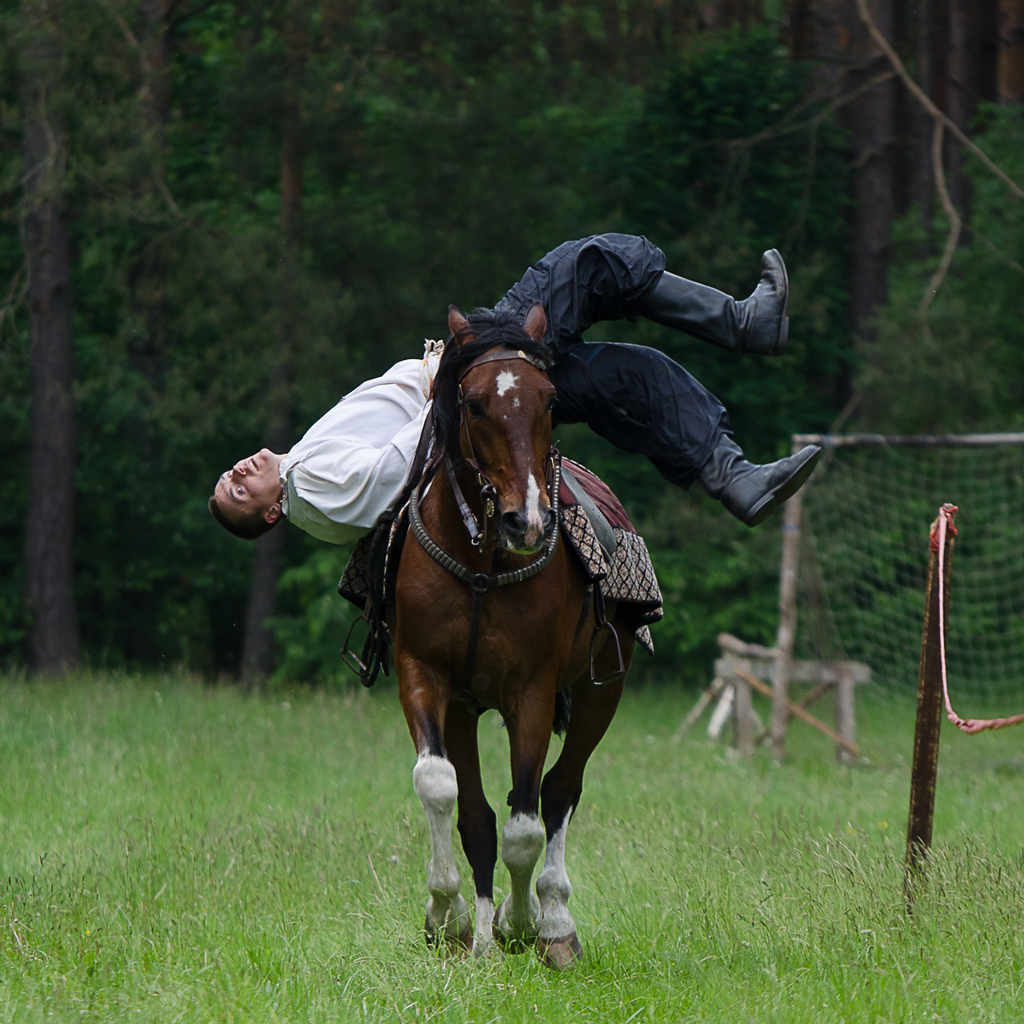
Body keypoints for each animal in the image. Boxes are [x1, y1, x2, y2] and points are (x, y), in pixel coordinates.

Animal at [389, 301, 630, 966]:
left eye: (549, 400)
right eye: (473, 404)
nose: (528, 521)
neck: (483, 565)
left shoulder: (533, 691)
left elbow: (526, 823)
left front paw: (520, 924)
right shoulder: (425, 674)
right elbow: (440, 788)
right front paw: (448, 918)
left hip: (604, 689)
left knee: (560, 789)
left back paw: (554, 923)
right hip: (466, 708)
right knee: (477, 814)